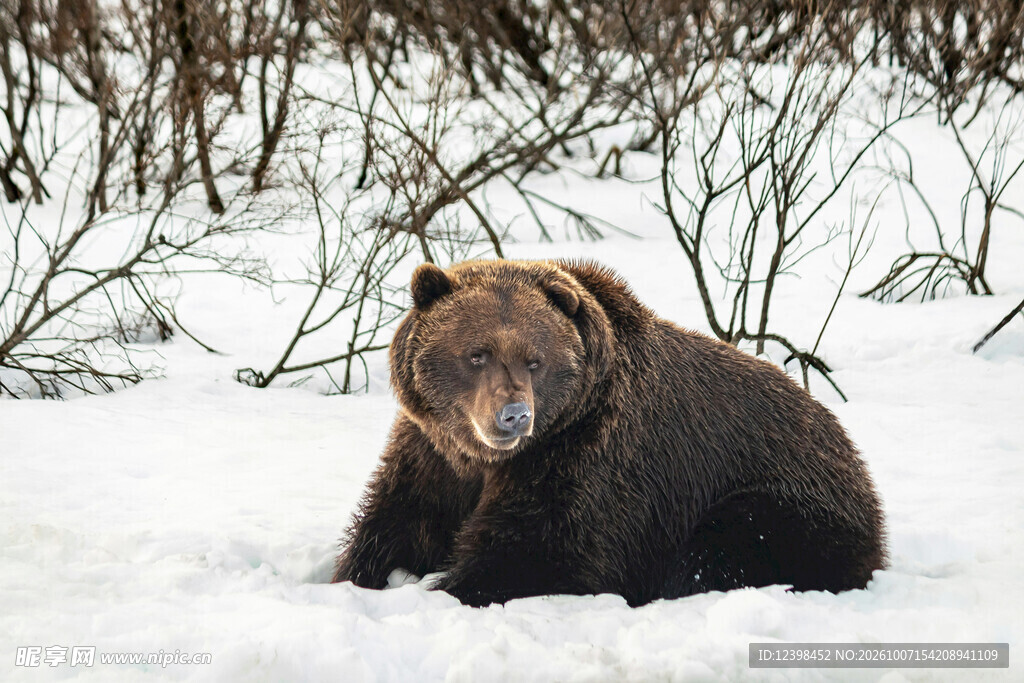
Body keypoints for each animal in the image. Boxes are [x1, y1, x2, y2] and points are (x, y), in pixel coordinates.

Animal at [331, 259, 886, 607]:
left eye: (535, 360)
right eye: (477, 354)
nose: (514, 415)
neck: (489, 460)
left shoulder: (588, 459)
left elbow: (539, 551)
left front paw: (449, 588)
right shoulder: (432, 454)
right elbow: (395, 521)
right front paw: (355, 577)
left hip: (783, 498)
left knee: (724, 546)